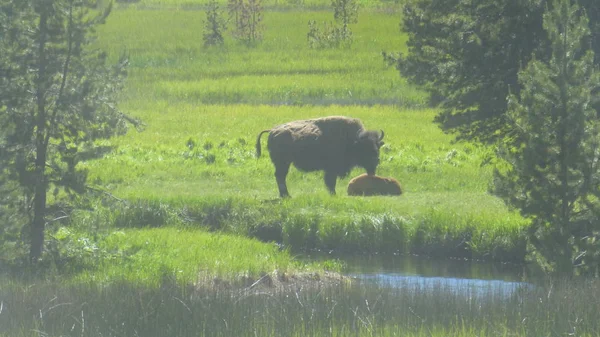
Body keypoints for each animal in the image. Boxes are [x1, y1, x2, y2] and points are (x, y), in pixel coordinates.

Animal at [254, 115, 384, 197]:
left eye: (378, 146)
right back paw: (286, 195)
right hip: (282, 163)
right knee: (280, 176)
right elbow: (330, 182)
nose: (376, 160)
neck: (352, 140)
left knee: (280, 176)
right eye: (365, 148)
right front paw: (333, 194)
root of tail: (272, 130)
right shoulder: (331, 169)